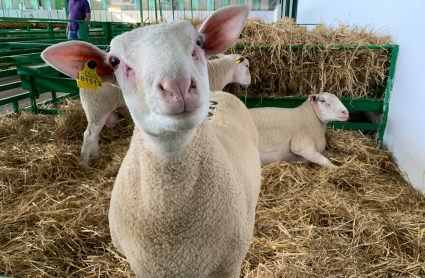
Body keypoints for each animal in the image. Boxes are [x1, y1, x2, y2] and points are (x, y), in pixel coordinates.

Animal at [75, 52, 248, 165]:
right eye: (246, 65)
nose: (249, 82)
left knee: (95, 135)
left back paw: (95, 156)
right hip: (97, 107)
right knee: (89, 135)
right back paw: (84, 163)